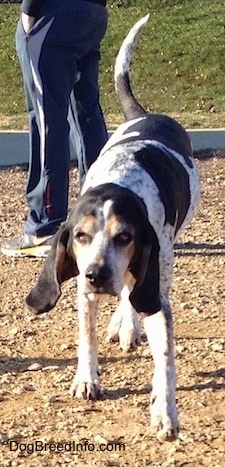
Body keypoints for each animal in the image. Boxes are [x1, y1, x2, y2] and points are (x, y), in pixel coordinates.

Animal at [26, 12, 200, 440]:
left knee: (133, 295)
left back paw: (127, 324)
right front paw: (87, 379)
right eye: (80, 236)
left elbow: (165, 361)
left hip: (162, 261)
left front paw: (165, 411)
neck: (119, 183)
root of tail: (144, 115)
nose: (96, 274)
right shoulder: (85, 294)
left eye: (125, 236)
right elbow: (86, 339)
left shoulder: (156, 292)